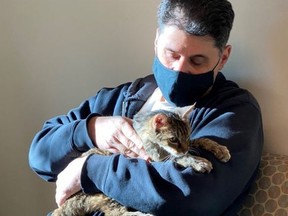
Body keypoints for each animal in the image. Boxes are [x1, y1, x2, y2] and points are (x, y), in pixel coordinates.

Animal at [51, 110, 231, 215]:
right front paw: (199, 162)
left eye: (186, 136)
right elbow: (180, 158)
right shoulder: (156, 160)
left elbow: (201, 140)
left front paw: (219, 149)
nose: (184, 149)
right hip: (106, 196)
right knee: (118, 213)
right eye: (173, 139)